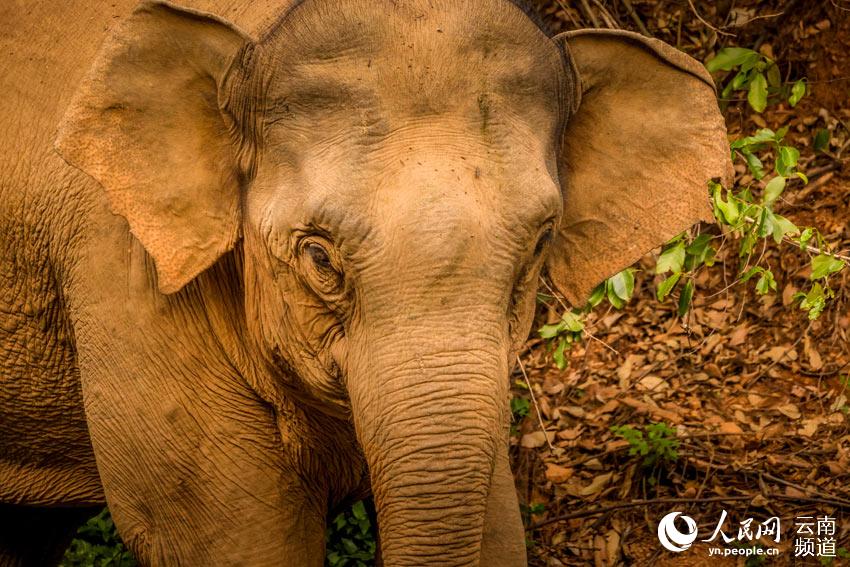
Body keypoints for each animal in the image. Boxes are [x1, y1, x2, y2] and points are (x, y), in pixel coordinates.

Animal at [0, 0, 728, 564]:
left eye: (539, 245)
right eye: (320, 257)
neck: (259, 29)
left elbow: (496, 527)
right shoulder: (127, 283)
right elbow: (239, 545)